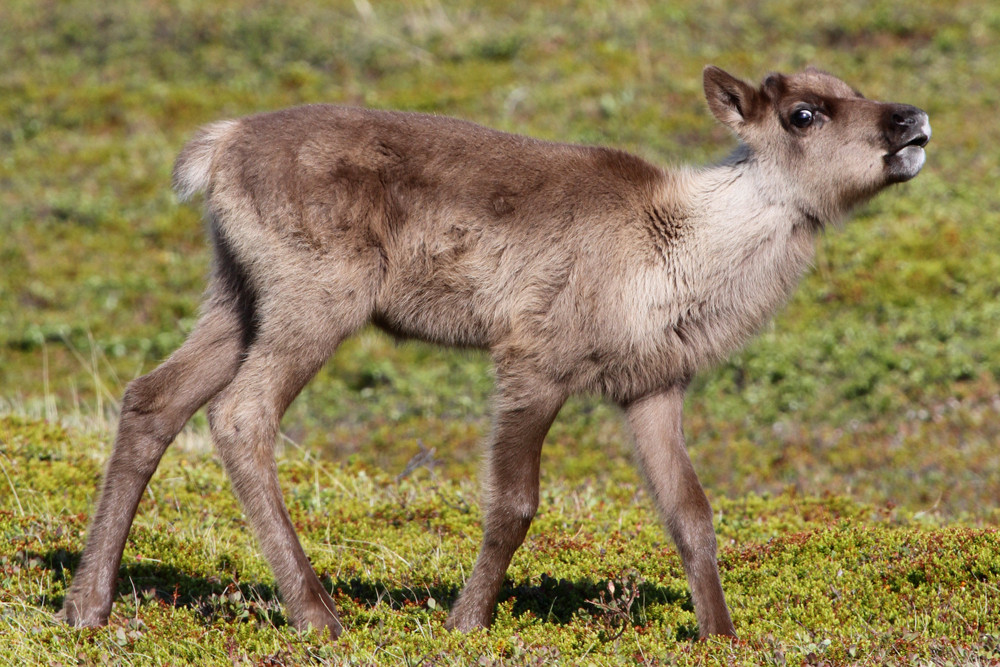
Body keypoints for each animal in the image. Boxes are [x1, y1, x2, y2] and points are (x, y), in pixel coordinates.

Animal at [62, 66, 928, 636]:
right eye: (804, 113)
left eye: (853, 86)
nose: (912, 120)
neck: (682, 250)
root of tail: (219, 145)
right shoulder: (532, 358)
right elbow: (514, 503)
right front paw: (466, 622)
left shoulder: (652, 385)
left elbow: (691, 511)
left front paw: (721, 635)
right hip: (315, 295)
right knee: (241, 414)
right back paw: (317, 614)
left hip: (236, 294)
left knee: (152, 398)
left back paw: (86, 604)